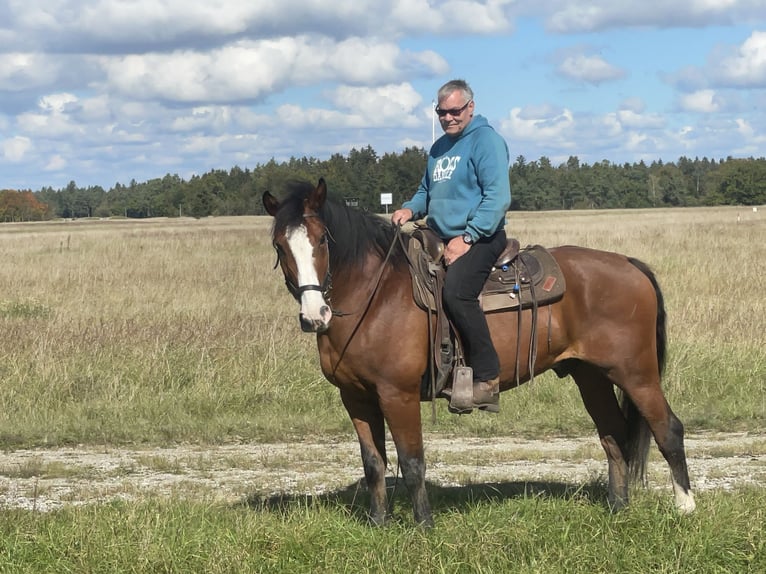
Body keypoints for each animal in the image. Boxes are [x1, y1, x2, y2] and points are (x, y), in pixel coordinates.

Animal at [262, 178, 696, 528]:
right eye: (279, 245)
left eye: (322, 239)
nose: (314, 315)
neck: (375, 295)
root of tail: (630, 264)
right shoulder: (355, 397)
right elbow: (374, 464)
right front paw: (378, 523)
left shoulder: (398, 395)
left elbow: (413, 461)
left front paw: (423, 526)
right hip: (590, 376)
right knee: (613, 435)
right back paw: (618, 508)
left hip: (637, 374)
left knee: (668, 430)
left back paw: (685, 508)